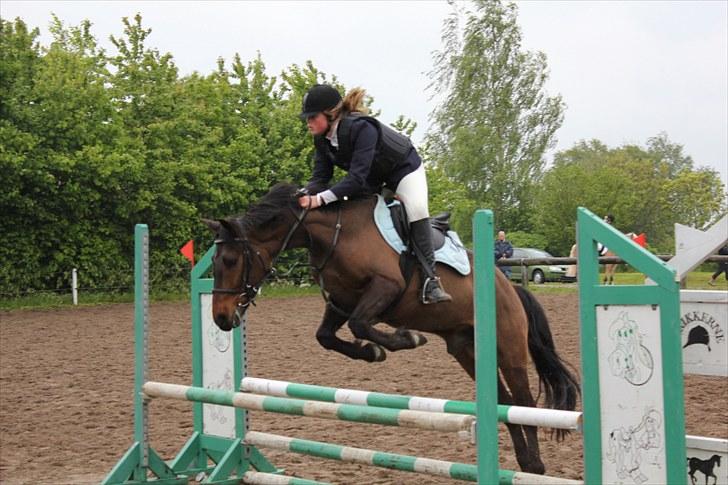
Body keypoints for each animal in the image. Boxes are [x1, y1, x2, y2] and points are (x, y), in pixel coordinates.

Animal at [204, 182, 580, 475]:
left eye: (230, 261)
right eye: (215, 263)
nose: (221, 319)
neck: (335, 235)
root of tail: (510, 287)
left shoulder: (384, 288)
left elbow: (361, 324)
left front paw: (405, 338)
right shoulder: (341, 303)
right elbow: (326, 336)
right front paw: (373, 351)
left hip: (508, 347)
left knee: (523, 402)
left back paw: (535, 466)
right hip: (467, 351)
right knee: (505, 404)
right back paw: (525, 464)